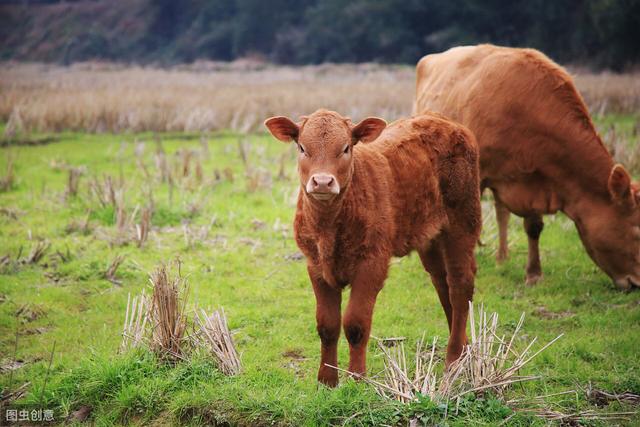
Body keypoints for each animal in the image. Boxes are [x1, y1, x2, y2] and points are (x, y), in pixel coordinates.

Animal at [264, 108, 480, 386]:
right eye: (302, 147)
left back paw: (453, 359)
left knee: (460, 285)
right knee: (442, 284)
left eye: (346, 148)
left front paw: (357, 379)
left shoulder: (372, 263)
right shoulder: (315, 266)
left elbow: (355, 323)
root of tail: (443, 121)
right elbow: (327, 325)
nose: (322, 182)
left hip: (463, 222)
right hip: (429, 236)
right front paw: (327, 380)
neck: (329, 226)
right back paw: (463, 347)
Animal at [416, 44, 640, 290]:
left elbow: (533, 226)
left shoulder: (536, 179)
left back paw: (502, 257)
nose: (636, 283)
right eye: (637, 231)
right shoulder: (478, 175)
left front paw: (533, 274)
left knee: (501, 212)